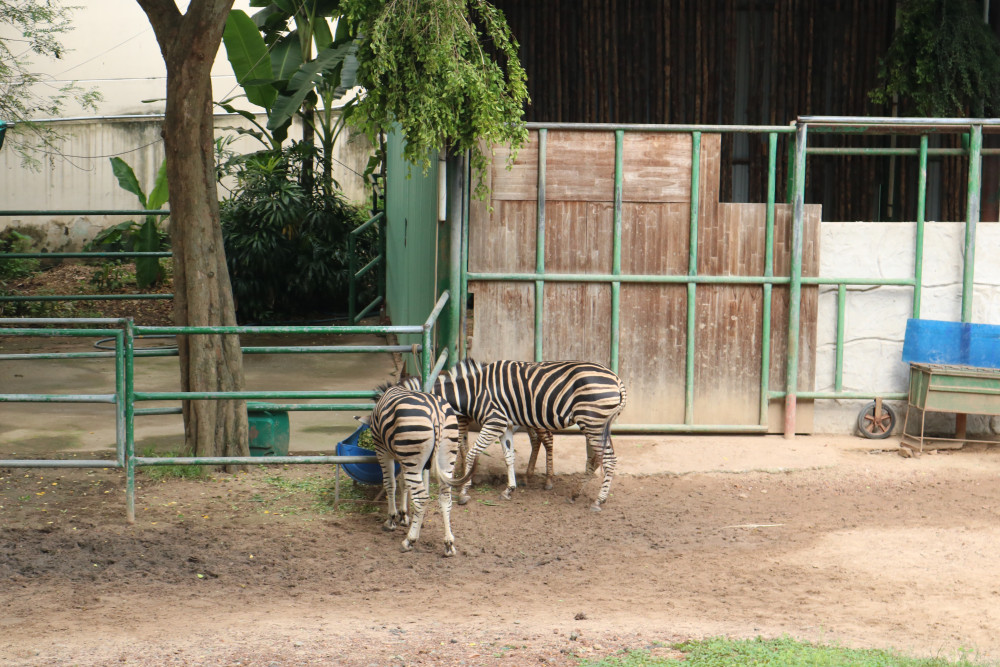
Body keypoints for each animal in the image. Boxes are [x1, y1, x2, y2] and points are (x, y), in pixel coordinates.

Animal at [356, 384, 472, 556]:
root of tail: (436, 413)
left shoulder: (383, 451)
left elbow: (390, 484)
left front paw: (392, 519)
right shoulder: (403, 460)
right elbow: (404, 484)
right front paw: (403, 515)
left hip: (411, 455)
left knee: (422, 498)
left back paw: (409, 540)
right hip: (445, 455)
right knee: (445, 498)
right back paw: (449, 543)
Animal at [400, 360, 620, 512]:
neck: (474, 391)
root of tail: (617, 380)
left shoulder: (494, 422)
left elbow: (471, 454)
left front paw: (463, 491)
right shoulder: (504, 425)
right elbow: (509, 456)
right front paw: (509, 489)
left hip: (593, 423)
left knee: (608, 460)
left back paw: (598, 501)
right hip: (595, 425)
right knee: (596, 460)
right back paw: (576, 495)